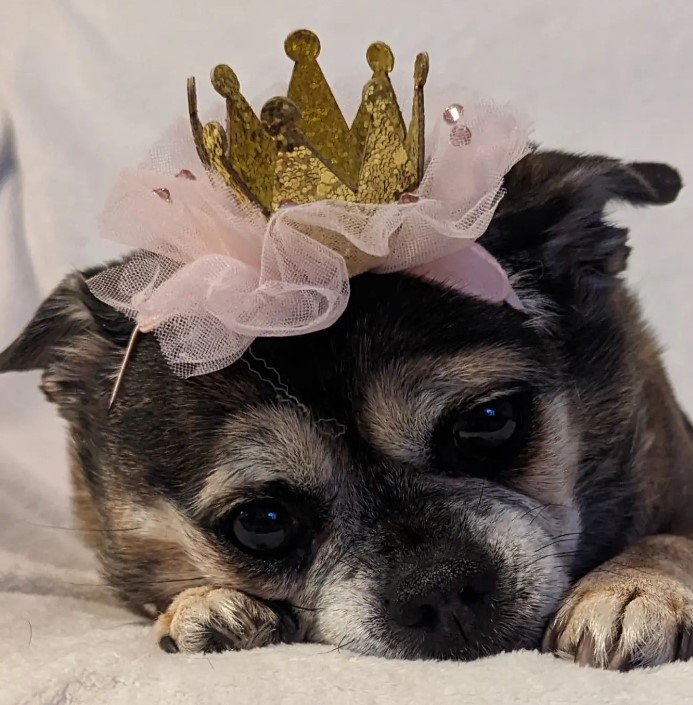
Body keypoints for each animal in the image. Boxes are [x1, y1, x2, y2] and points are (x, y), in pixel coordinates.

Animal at [1, 147, 692, 664]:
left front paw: (631, 587)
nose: (440, 589)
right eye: (262, 522)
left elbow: (670, 537)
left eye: (488, 424)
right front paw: (198, 601)